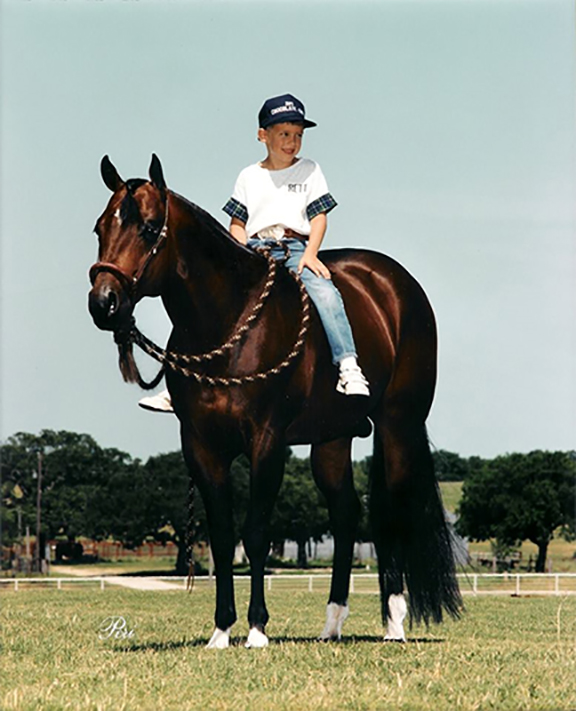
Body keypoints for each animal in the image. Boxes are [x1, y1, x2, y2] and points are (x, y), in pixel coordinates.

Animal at [88, 156, 462, 652]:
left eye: (149, 229)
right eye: (100, 228)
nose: (103, 303)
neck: (229, 322)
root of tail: (397, 285)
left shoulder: (266, 441)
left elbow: (256, 531)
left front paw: (257, 628)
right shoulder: (200, 444)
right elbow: (223, 536)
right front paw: (221, 630)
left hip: (398, 424)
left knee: (393, 511)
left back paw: (395, 623)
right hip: (332, 438)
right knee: (346, 513)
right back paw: (332, 623)